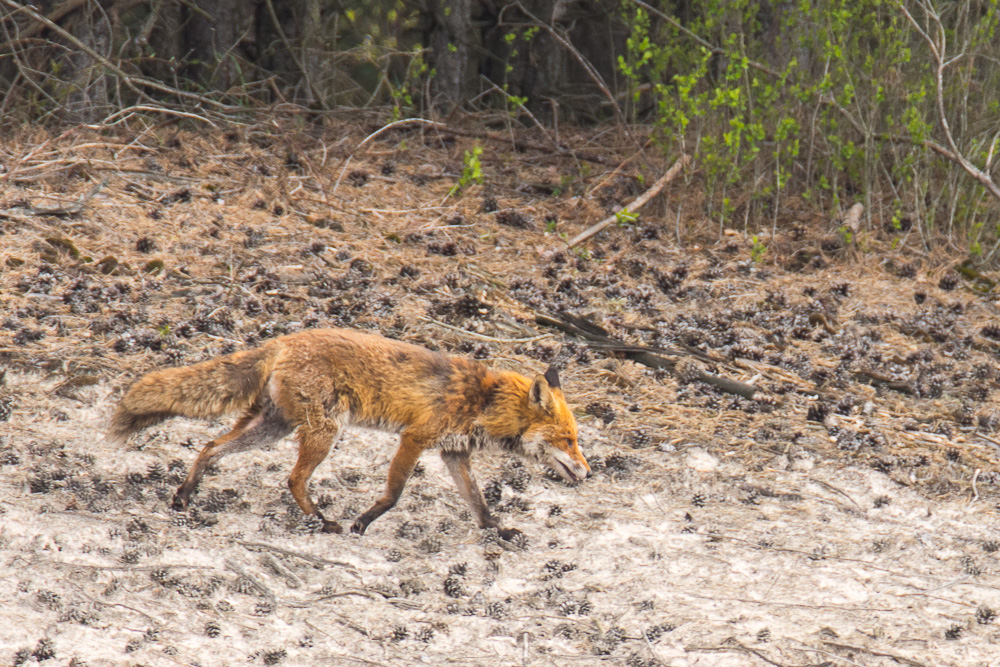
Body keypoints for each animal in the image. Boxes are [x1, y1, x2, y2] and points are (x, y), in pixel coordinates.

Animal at [108, 326, 588, 540]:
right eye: (568, 440)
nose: (587, 471)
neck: (484, 401)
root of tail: (285, 340)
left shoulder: (454, 453)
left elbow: (479, 503)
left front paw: (498, 532)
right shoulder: (414, 438)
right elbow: (394, 495)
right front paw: (362, 522)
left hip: (273, 427)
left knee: (210, 447)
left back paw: (184, 496)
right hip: (324, 430)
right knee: (293, 479)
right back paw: (323, 522)